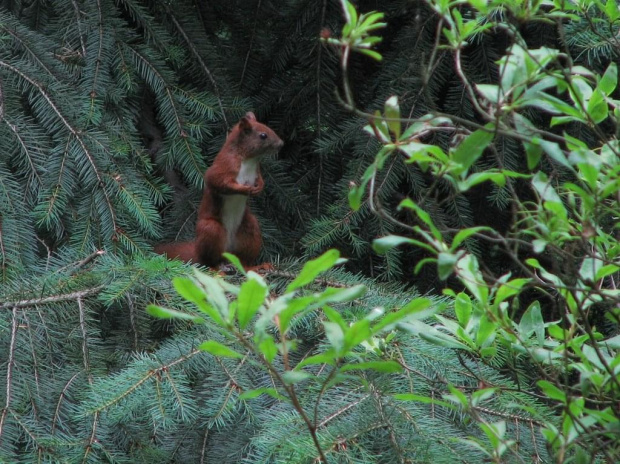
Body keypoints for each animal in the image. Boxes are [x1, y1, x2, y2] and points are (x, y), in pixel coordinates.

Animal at [154, 112, 284, 268]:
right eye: (263, 135)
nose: (281, 144)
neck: (249, 161)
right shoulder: (224, 167)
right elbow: (219, 182)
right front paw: (244, 189)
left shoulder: (256, 171)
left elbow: (260, 179)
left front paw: (259, 187)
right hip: (211, 230)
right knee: (209, 262)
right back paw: (218, 270)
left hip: (250, 228)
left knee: (243, 260)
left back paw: (258, 267)